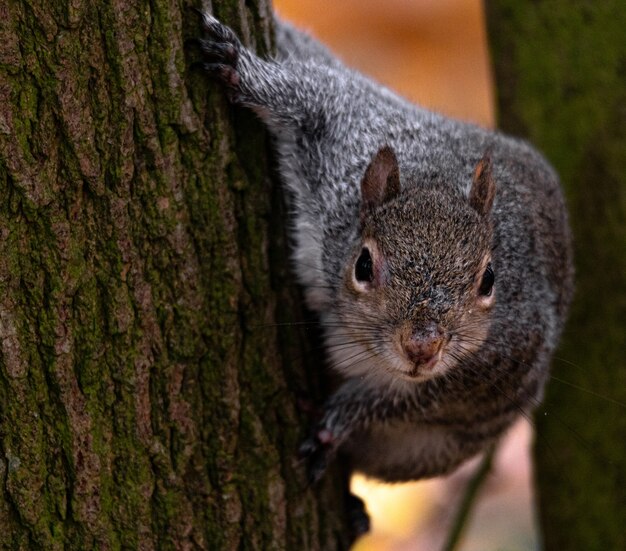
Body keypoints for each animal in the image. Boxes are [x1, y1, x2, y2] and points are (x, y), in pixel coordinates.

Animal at [189, 11, 572, 492]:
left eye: (488, 281)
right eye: (364, 265)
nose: (422, 347)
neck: (434, 181)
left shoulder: (495, 364)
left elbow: (395, 402)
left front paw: (337, 422)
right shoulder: (346, 131)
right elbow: (307, 94)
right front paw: (239, 68)